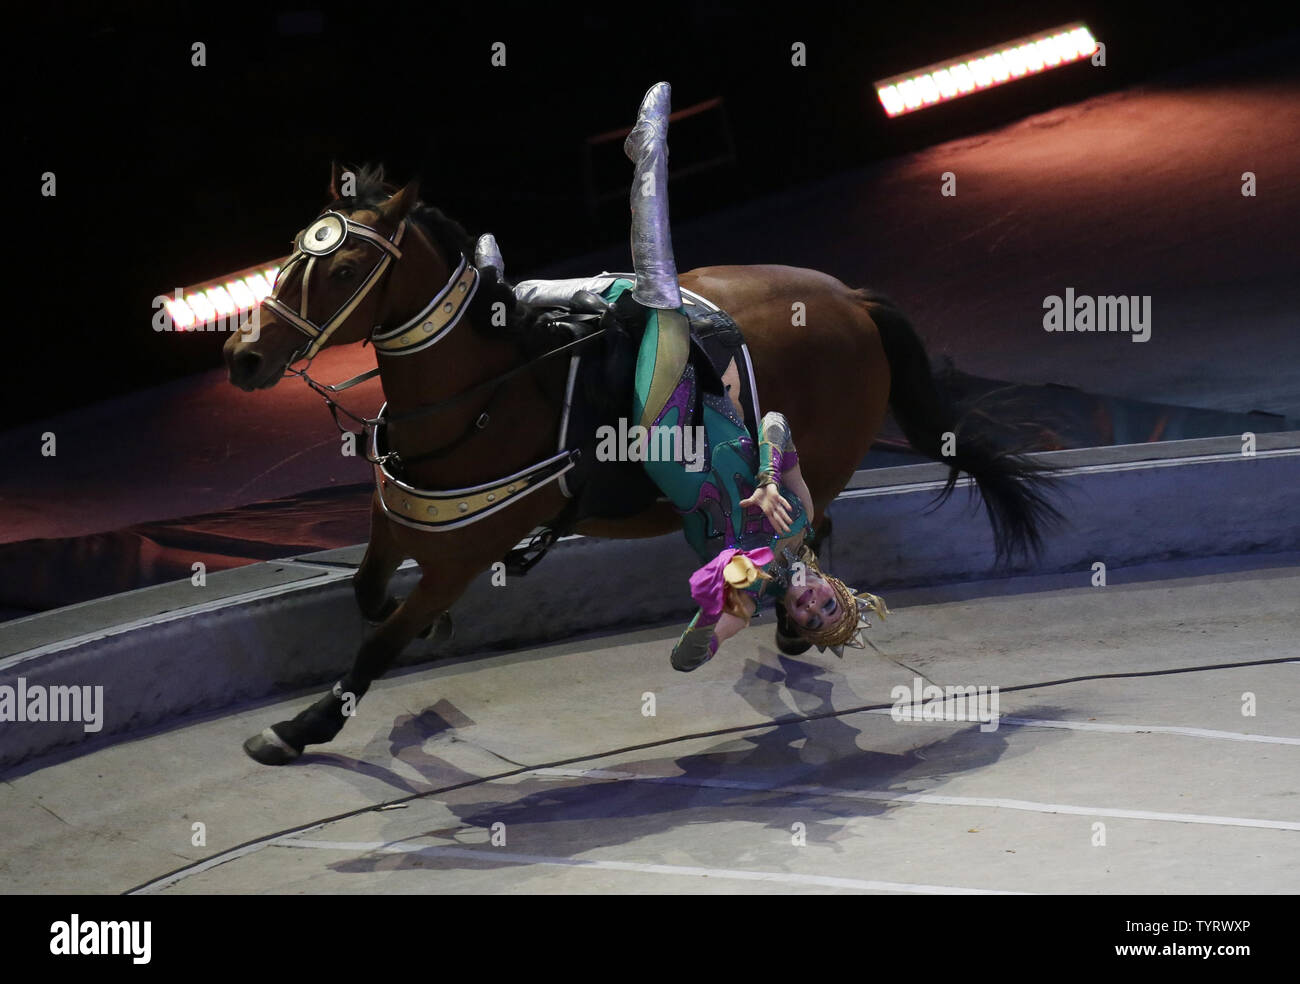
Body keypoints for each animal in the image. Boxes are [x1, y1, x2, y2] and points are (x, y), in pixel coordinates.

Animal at [222, 165, 1061, 765]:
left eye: (343, 269)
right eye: (293, 252)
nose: (243, 355)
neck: (486, 392)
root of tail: (851, 298)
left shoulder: (461, 556)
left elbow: (378, 640)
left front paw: (299, 728)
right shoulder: (395, 519)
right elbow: (366, 594)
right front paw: (420, 632)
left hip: (818, 456)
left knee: (806, 528)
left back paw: (795, 619)